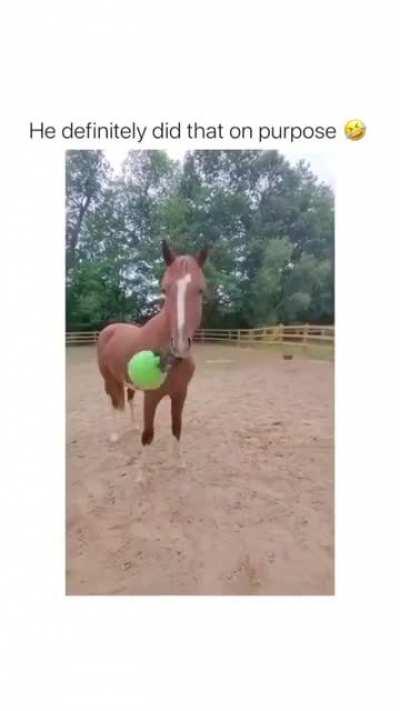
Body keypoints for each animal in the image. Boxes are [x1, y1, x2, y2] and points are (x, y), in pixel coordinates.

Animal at [97, 240, 208, 481]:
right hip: (109, 380)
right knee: (113, 402)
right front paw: (141, 476)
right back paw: (114, 435)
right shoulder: (151, 397)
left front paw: (180, 464)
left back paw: (132, 426)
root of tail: (110, 329)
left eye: (200, 290)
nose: (180, 345)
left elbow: (177, 427)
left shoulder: (180, 394)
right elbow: (148, 435)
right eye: (164, 289)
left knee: (129, 400)